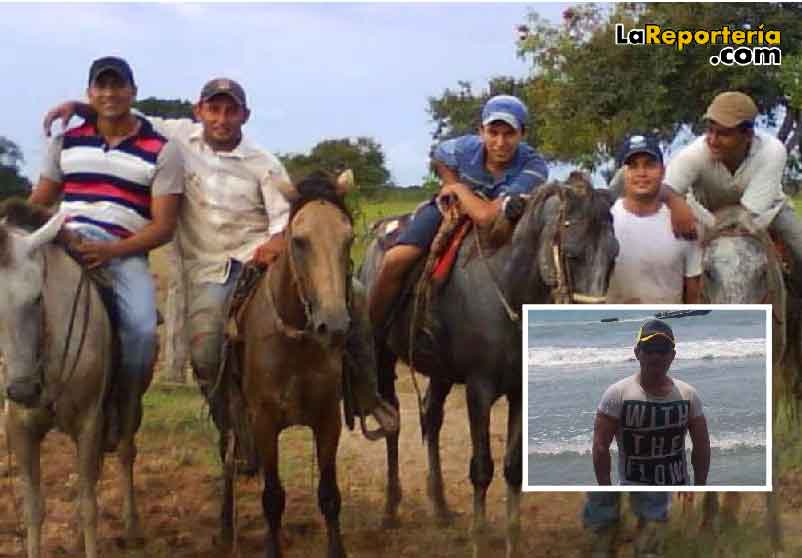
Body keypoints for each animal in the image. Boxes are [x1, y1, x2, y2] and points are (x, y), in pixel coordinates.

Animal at [1, 208, 144, 558]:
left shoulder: (89, 423)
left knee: (125, 453)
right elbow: (33, 508)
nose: (23, 390)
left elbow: (88, 507)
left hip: (127, 402)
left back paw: (131, 526)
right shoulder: (20, 427)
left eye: (37, 298)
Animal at [360, 176, 616, 558]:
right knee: (392, 421)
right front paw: (479, 539)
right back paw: (391, 510)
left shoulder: (519, 391)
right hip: (383, 354)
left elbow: (513, 469)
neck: (508, 290)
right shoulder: (479, 390)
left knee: (430, 416)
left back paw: (440, 506)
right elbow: (482, 469)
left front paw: (512, 541)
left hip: (441, 371)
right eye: (572, 254)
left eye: (614, 255)